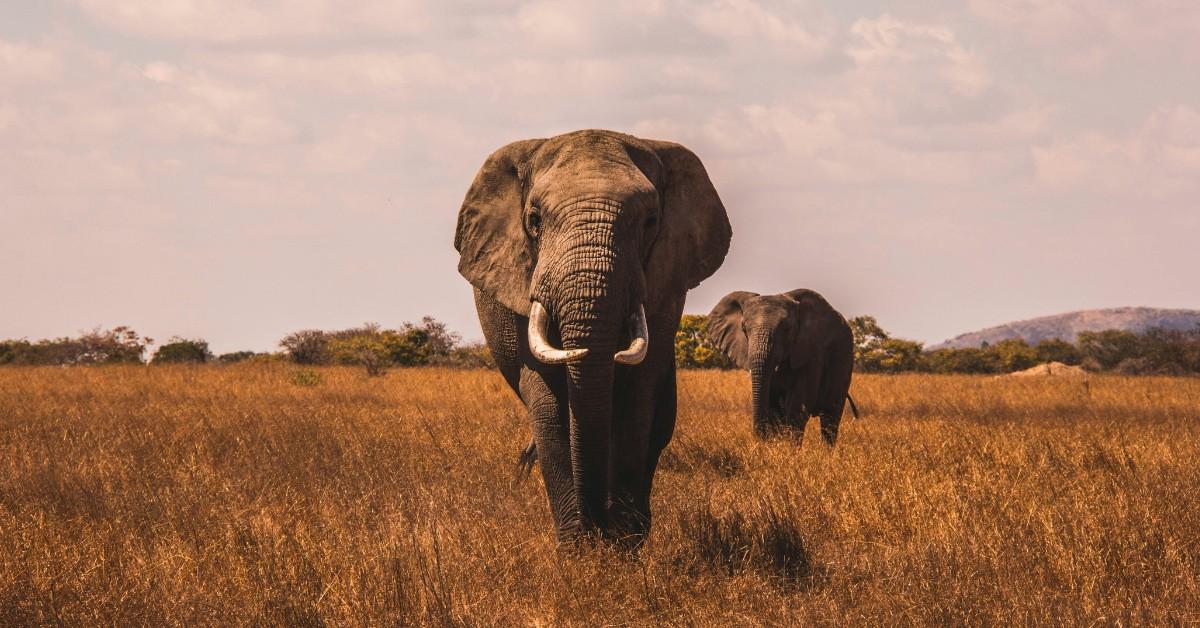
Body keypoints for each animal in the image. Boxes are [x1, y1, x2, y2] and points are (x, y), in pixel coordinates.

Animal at [451, 129, 724, 545]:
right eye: (534, 220)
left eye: (651, 221)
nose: (599, 526)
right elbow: (549, 404)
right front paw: (580, 549)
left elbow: (637, 400)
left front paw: (623, 545)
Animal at [705, 290, 859, 441]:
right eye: (743, 329)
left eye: (787, 329)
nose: (759, 438)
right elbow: (774, 408)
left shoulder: (812, 352)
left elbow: (798, 407)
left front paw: (789, 448)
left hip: (844, 360)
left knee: (830, 418)